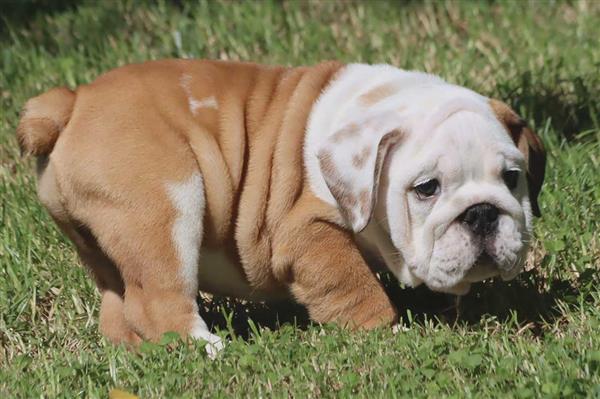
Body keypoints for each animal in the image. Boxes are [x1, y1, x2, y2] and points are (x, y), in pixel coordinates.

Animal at [16, 60, 548, 356]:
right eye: (426, 189)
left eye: (512, 177)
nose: (481, 213)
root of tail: (72, 101)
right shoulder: (306, 232)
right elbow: (353, 287)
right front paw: (389, 335)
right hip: (166, 204)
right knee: (158, 299)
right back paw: (211, 350)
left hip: (104, 243)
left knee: (117, 300)